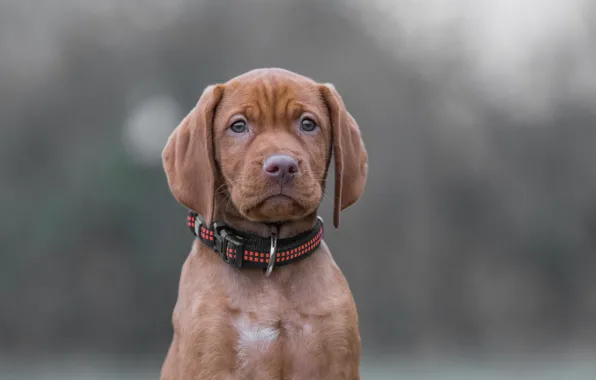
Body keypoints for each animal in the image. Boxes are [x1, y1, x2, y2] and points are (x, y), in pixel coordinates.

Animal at [161, 69, 366, 380]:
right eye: (238, 126)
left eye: (308, 124)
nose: (281, 166)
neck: (269, 253)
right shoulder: (209, 362)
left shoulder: (337, 364)